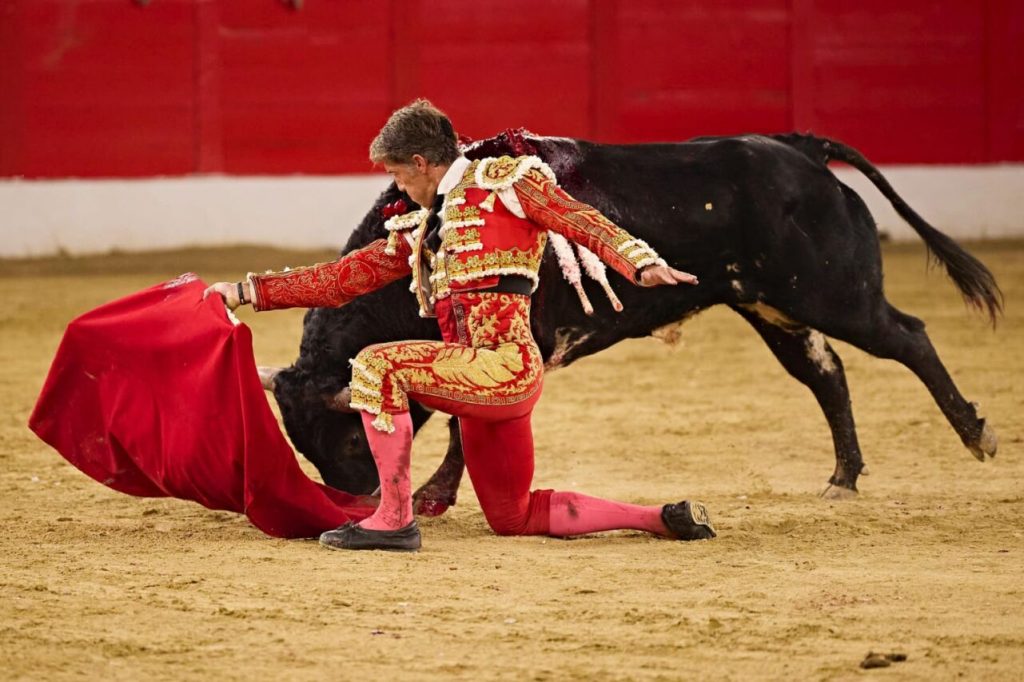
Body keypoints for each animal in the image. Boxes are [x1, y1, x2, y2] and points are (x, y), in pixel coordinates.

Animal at [264, 133, 999, 503]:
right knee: (827, 372)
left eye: (351, 441)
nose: (358, 500)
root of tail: (801, 151)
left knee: (908, 338)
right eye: (310, 448)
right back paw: (843, 476)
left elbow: (464, 421)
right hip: (769, 305)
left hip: (833, 293)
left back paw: (976, 435)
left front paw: (434, 495)